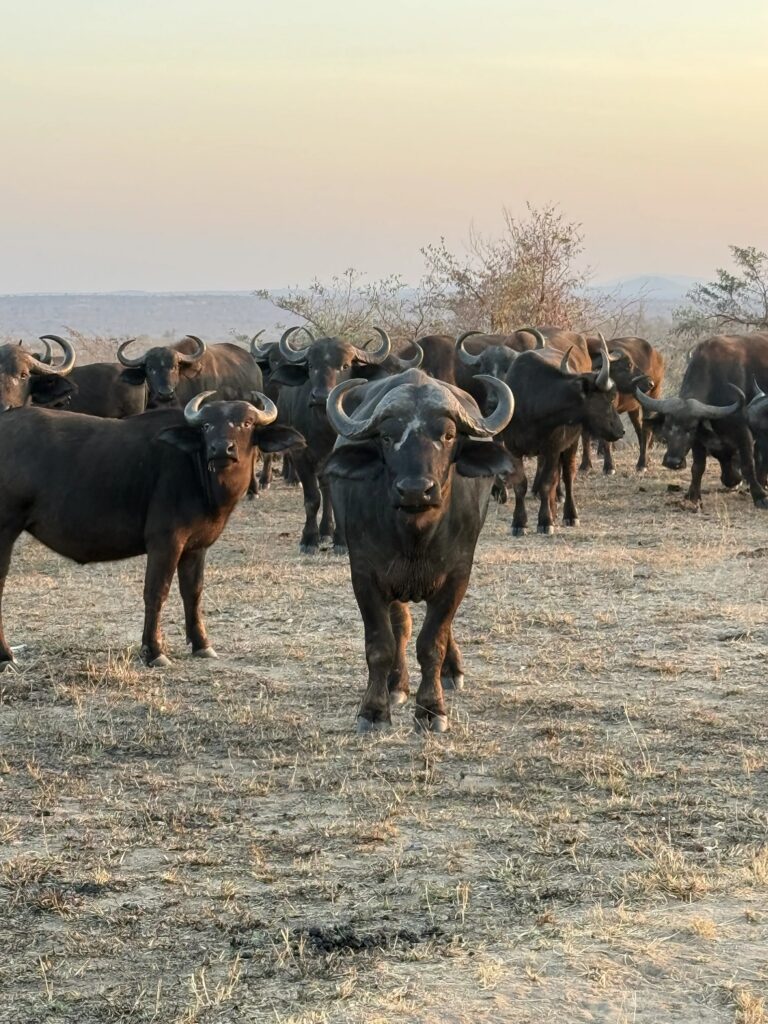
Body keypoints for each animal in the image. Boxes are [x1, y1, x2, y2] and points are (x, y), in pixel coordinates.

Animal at [0, 392, 303, 669]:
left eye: (247, 423)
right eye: (206, 425)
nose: (221, 449)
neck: (201, 476)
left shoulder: (196, 547)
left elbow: (193, 592)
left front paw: (202, 644)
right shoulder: (165, 542)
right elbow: (157, 591)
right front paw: (154, 651)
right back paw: (6, 656)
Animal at [324, 368, 514, 732]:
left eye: (449, 434)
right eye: (387, 436)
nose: (415, 490)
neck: (415, 537)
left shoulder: (457, 574)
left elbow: (432, 642)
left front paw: (431, 709)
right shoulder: (365, 575)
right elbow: (381, 644)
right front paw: (374, 711)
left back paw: (451, 673)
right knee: (401, 625)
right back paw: (396, 685)